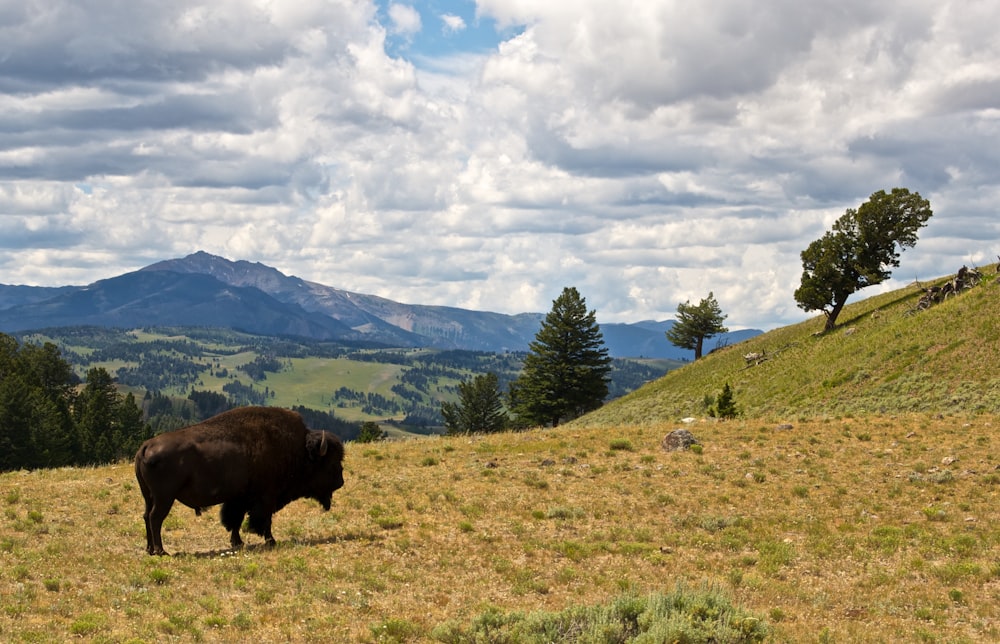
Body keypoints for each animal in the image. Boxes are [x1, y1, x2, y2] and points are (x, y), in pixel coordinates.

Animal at [134, 408, 344, 552]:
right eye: (331, 463)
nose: (340, 482)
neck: (299, 450)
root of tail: (146, 446)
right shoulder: (266, 497)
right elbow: (264, 520)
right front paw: (271, 541)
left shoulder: (238, 499)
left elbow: (235, 520)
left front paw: (237, 542)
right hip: (164, 497)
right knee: (155, 518)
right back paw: (161, 551)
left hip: (149, 496)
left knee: (146, 516)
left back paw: (150, 549)